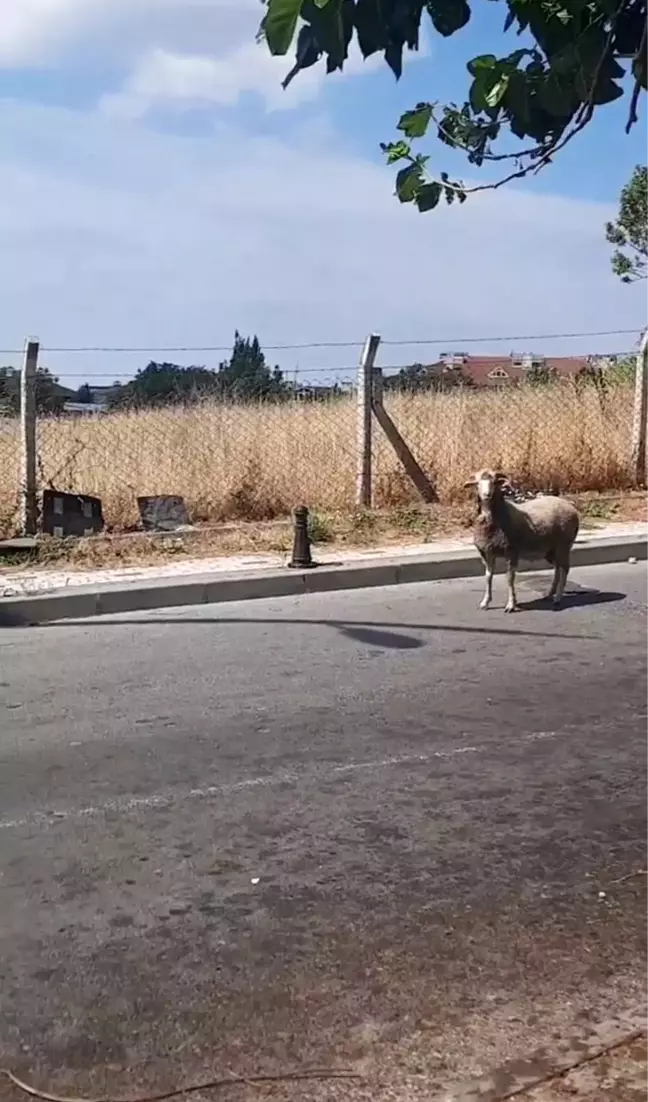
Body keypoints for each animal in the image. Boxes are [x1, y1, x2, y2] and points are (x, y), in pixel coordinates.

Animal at [462, 469, 577, 617]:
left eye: (494, 482)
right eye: (477, 483)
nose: (487, 495)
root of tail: (571, 507)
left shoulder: (511, 551)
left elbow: (510, 578)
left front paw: (511, 605)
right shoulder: (487, 552)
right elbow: (488, 577)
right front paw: (485, 602)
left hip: (563, 545)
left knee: (564, 569)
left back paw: (558, 598)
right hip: (550, 550)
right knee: (558, 567)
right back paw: (550, 593)